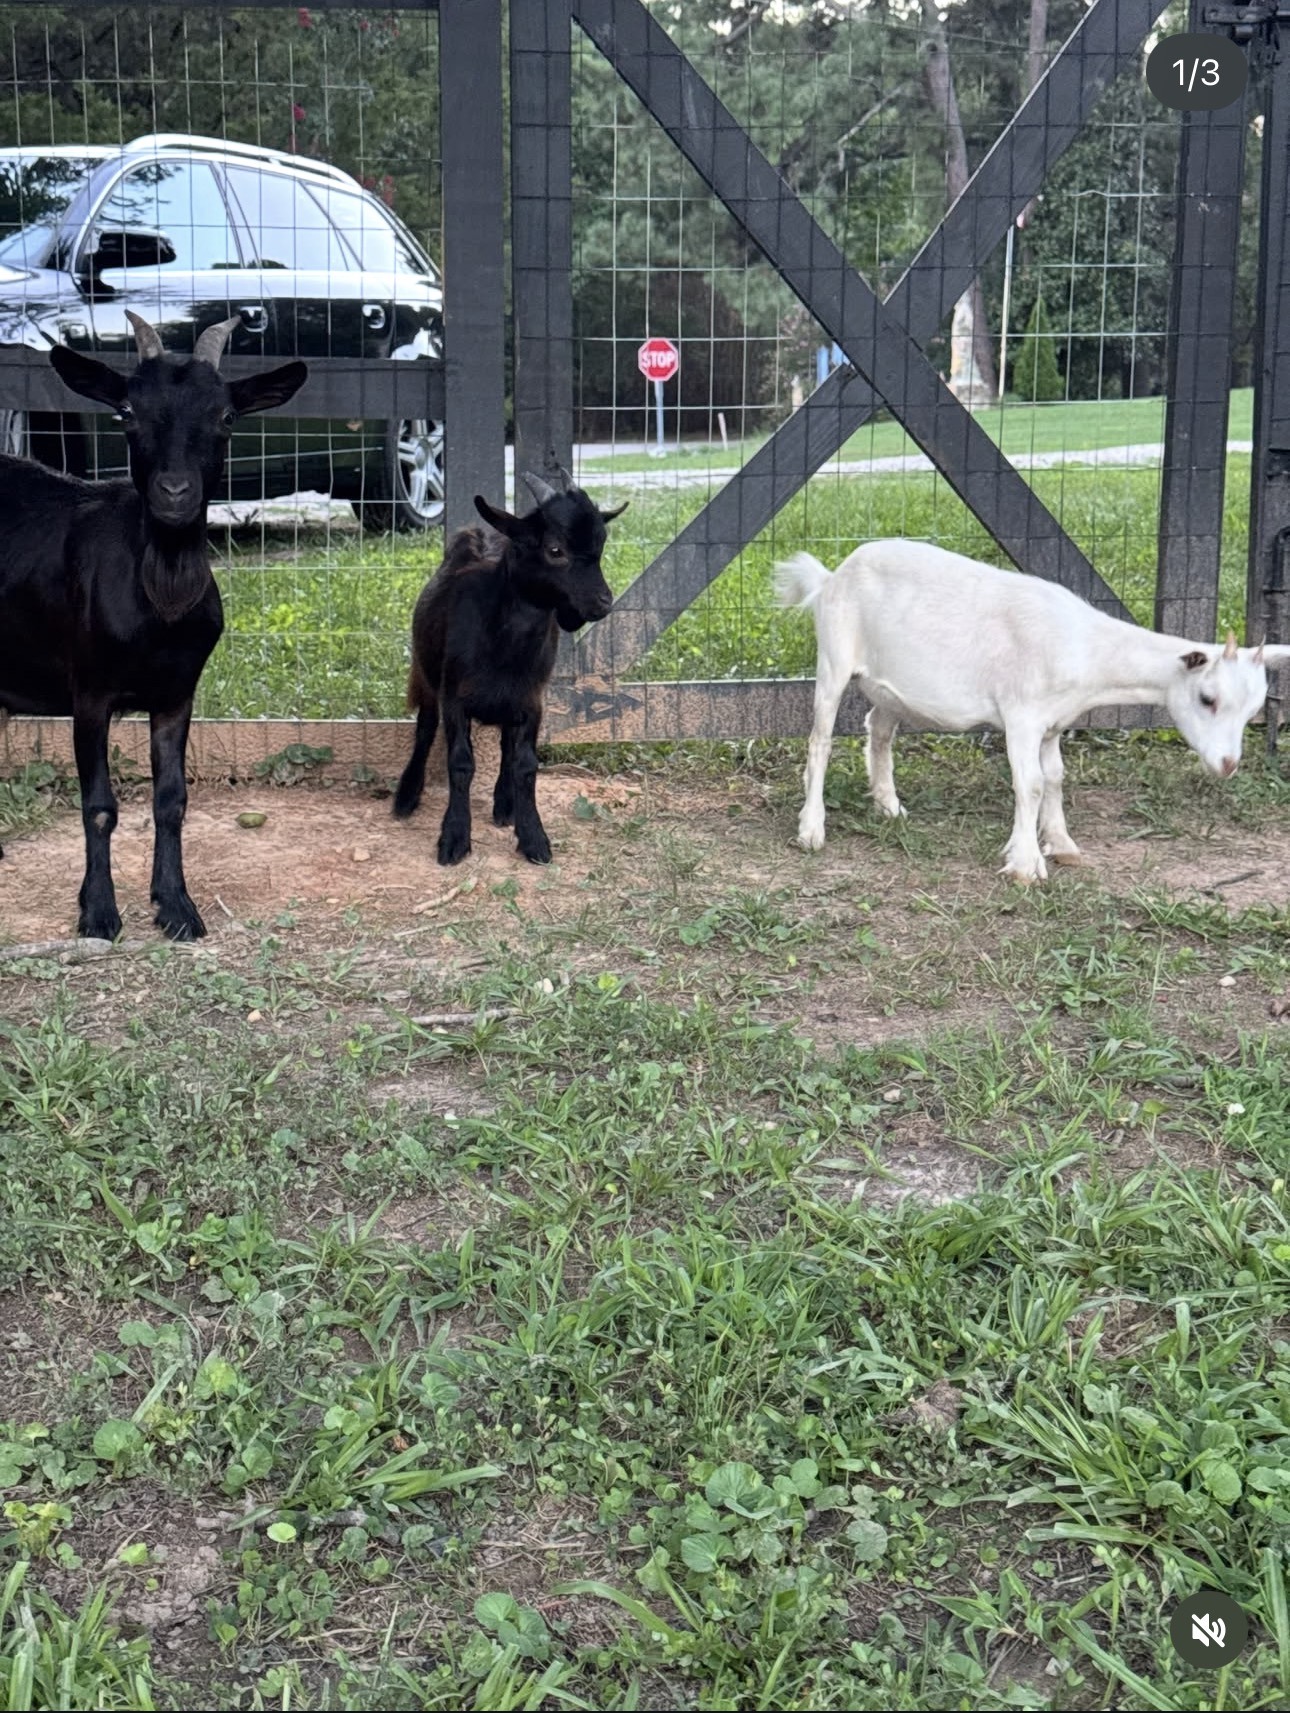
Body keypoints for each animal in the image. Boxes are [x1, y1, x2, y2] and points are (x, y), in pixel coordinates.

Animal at [0, 313, 307, 939]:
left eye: (227, 417)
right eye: (126, 412)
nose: (174, 493)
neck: (161, 601)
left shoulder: (176, 694)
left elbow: (172, 800)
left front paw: (177, 907)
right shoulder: (90, 692)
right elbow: (99, 806)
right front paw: (98, 913)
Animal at [393, 468, 627, 865]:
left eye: (602, 544)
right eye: (555, 549)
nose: (602, 603)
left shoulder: (532, 701)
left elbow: (525, 765)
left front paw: (533, 836)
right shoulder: (454, 698)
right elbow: (460, 763)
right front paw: (454, 837)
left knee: (505, 745)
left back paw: (505, 803)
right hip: (426, 677)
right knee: (424, 729)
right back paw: (407, 795)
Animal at [775, 538, 1290, 884]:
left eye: (1254, 709)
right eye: (1208, 699)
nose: (1228, 764)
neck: (1085, 647)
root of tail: (830, 577)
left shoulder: (1052, 724)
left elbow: (1056, 778)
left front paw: (1061, 844)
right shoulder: (1020, 715)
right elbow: (1032, 783)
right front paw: (1025, 864)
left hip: (890, 687)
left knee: (878, 728)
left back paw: (889, 805)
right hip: (834, 657)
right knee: (820, 739)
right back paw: (811, 827)